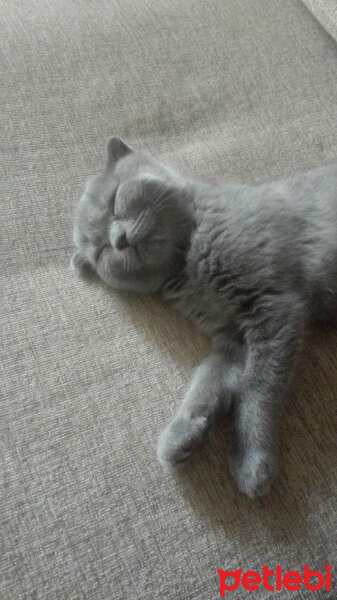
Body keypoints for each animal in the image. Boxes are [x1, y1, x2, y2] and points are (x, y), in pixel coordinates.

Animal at [70, 138, 336, 500]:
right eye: (100, 251)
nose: (118, 239)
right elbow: (209, 380)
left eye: (114, 201)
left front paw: (252, 461)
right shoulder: (232, 339)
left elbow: (257, 387)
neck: (189, 263)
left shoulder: (273, 307)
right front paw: (183, 435)